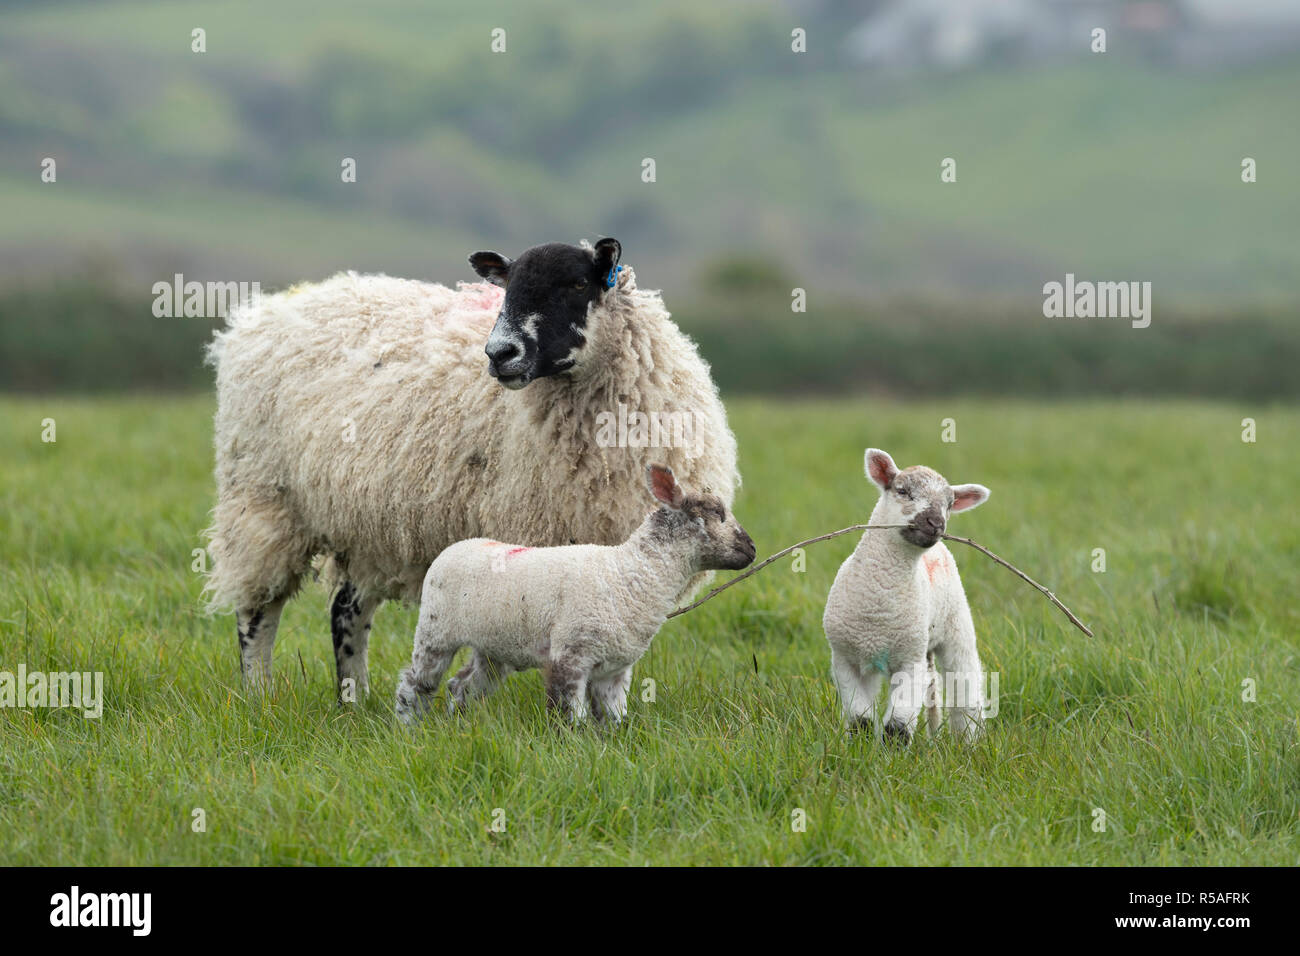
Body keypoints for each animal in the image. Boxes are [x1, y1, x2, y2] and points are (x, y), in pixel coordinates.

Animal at [209, 239, 748, 697]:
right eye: (507, 288)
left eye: (577, 285)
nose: (499, 353)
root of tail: (261, 314)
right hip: (263, 498)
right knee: (257, 611)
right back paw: (259, 695)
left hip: (368, 524)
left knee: (347, 609)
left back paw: (354, 700)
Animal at [392, 463, 754, 723]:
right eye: (719, 514)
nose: (752, 550)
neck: (632, 573)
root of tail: (456, 547)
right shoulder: (570, 655)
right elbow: (570, 718)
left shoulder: (614, 670)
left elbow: (613, 718)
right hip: (435, 632)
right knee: (415, 683)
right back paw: (408, 726)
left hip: (494, 646)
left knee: (463, 684)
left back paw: (460, 723)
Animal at [821, 447, 993, 749]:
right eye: (902, 491)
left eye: (949, 504)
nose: (936, 523)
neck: (878, 608)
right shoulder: (845, 659)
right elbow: (860, 719)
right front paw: (859, 751)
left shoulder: (909, 662)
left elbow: (897, 727)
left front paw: (891, 757)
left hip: (956, 625)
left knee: (965, 690)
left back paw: (968, 743)